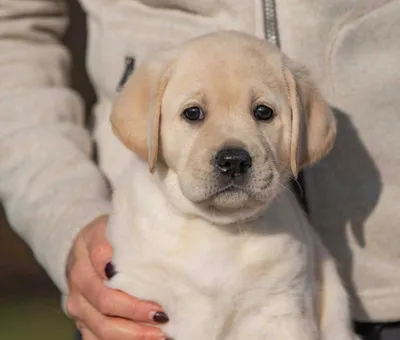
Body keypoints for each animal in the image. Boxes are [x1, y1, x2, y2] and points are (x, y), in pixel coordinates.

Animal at [106, 30, 356, 338]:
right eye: (193, 113)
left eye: (263, 112)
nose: (234, 161)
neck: (217, 229)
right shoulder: (140, 289)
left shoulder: (282, 309)